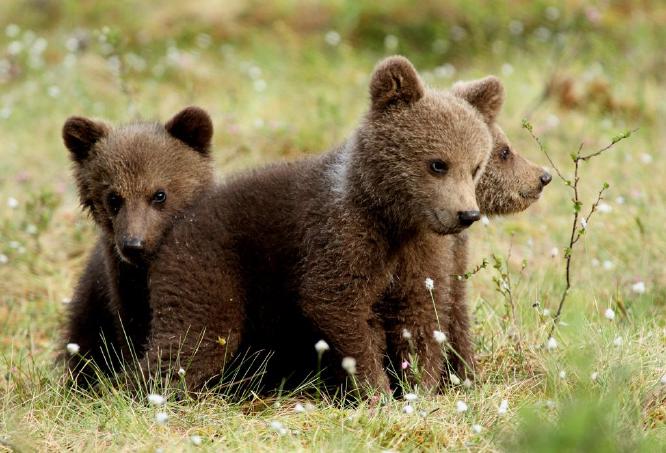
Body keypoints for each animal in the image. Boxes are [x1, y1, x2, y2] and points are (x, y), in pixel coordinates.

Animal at [124, 55, 501, 394]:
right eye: (438, 164)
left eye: (475, 166)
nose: (467, 214)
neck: (391, 217)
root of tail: (175, 227)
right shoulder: (339, 234)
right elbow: (337, 304)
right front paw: (377, 390)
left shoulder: (421, 252)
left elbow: (420, 315)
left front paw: (418, 388)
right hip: (210, 272)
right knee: (193, 340)